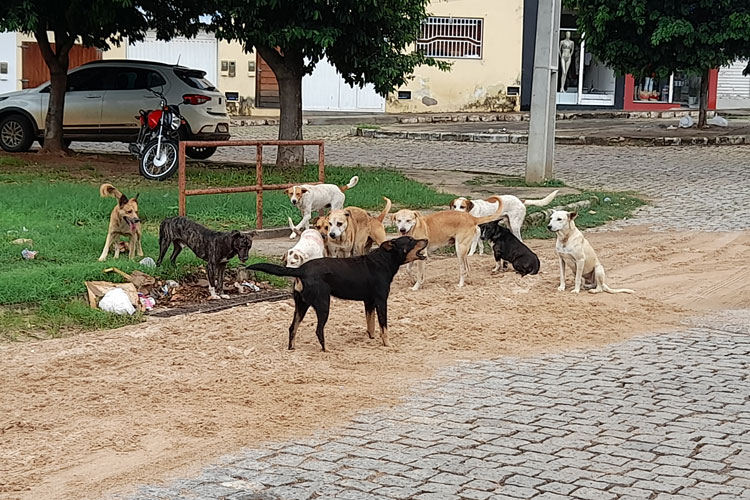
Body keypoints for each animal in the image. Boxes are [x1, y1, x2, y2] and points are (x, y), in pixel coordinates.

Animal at [248, 237, 428, 352]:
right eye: (411, 240)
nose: (426, 239)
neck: (383, 261)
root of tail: (301, 269)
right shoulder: (381, 301)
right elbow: (384, 326)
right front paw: (387, 344)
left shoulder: (369, 302)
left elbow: (370, 325)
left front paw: (371, 338)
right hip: (323, 304)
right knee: (319, 330)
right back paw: (327, 349)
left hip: (301, 305)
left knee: (292, 327)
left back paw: (292, 348)